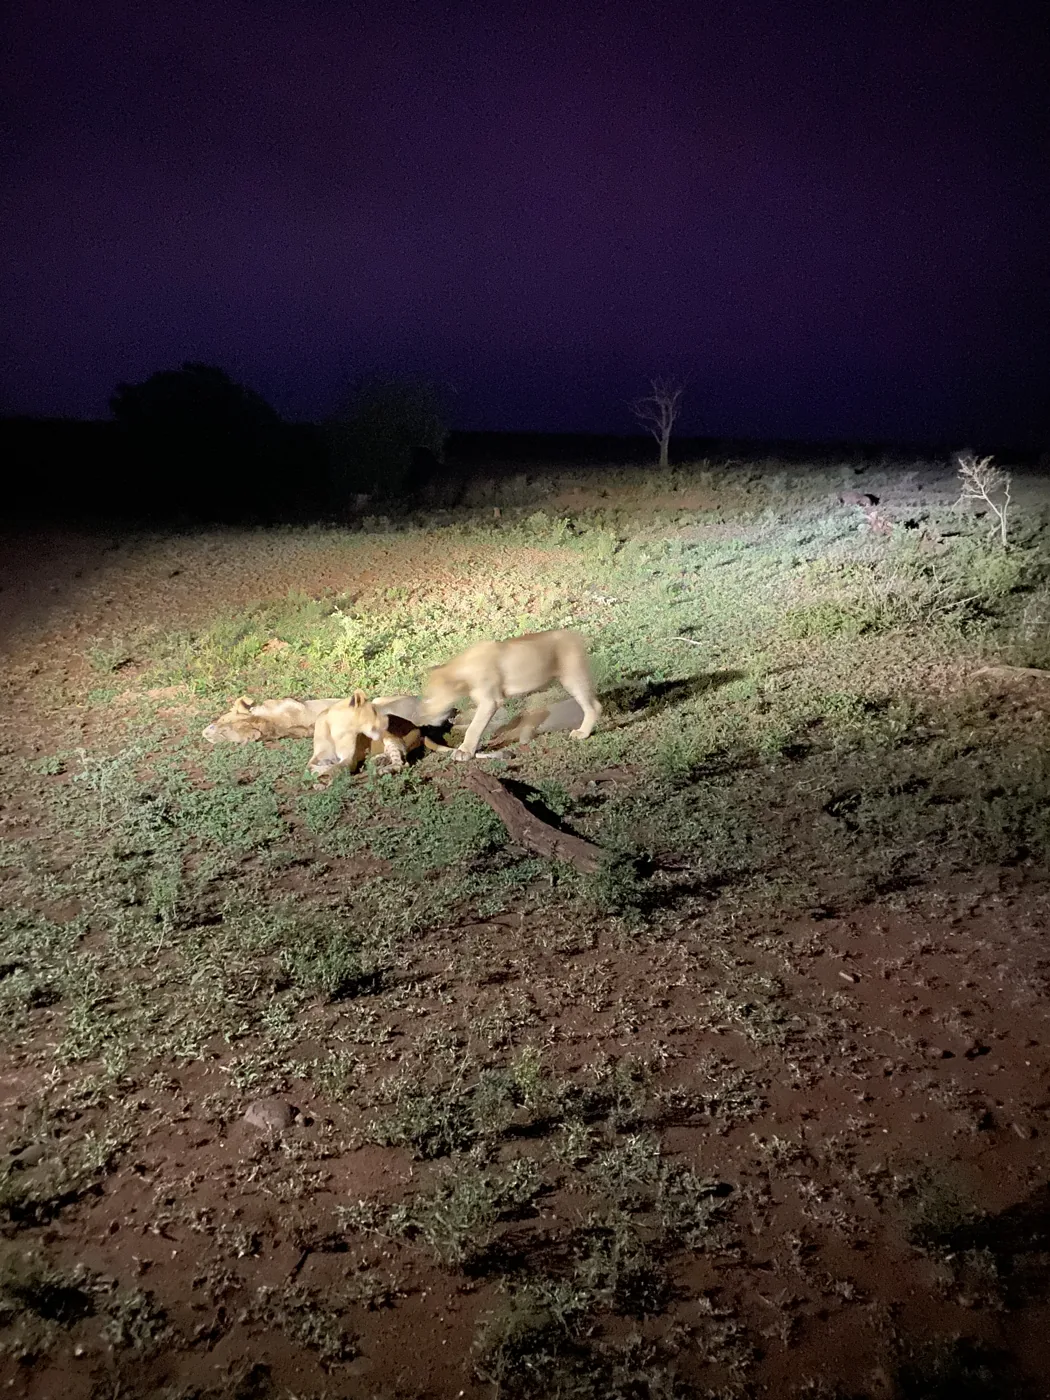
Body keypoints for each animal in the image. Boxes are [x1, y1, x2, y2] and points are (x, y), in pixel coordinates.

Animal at [420, 629, 602, 760]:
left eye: (430, 698)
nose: (423, 717)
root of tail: (575, 634)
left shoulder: (490, 702)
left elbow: (473, 727)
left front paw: (464, 751)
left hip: (573, 677)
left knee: (594, 706)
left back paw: (582, 733)